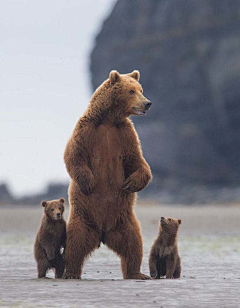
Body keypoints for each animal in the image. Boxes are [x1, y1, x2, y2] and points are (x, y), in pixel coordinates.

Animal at [64, 69, 152, 280]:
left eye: (141, 89)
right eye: (131, 91)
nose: (147, 103)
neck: (109, 120)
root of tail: (103, 234)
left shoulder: (126, 135)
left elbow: (137, 161)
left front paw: (131, 183)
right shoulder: (86, 130)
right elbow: (74, 155)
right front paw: (89, 183)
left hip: (124, 220)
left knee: (133, 243)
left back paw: (137, 273)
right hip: (83, 218)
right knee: (75, 243)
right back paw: (71, 272)